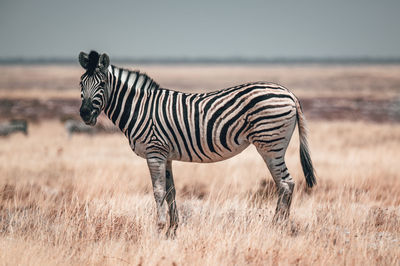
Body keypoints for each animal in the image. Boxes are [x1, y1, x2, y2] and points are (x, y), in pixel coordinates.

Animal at [78, 51, 316, 238]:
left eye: (102, 84)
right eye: (81, 84)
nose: (85, 114)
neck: (139, 107)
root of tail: (289, 93)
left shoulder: (155, 152)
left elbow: (158, 191)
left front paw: (159, 229)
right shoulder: (166, 155)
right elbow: (171, 191)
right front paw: (172, 230)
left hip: (270, 144)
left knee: (286, 183)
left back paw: (276, 227)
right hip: (272, 145)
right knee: (285, 184)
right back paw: (281, 226)